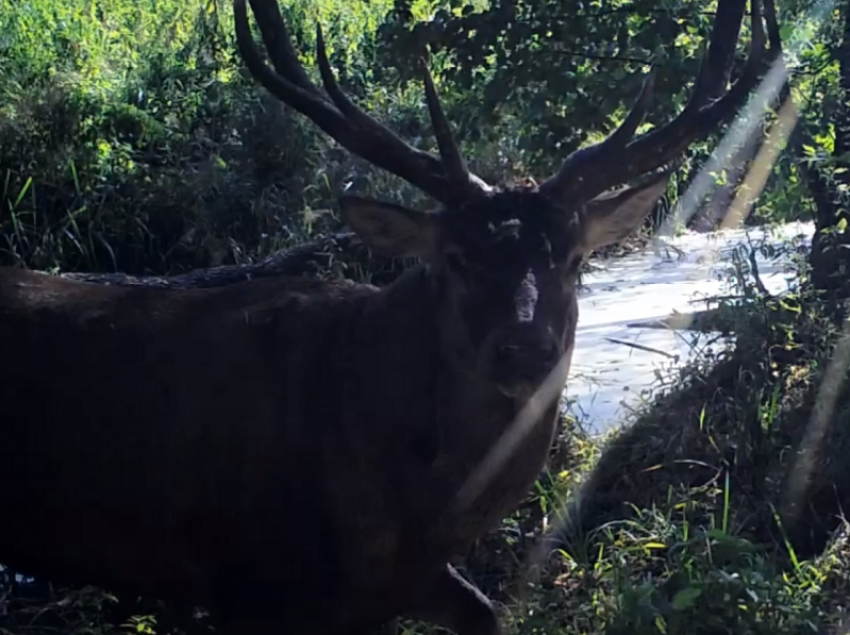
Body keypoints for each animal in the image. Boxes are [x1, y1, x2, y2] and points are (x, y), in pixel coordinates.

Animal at [0, 1, 768, 635]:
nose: (525, 347)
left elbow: (488, 611)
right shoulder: (244, 580)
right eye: (454, 256)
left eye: (576, 258)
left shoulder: (406, 583)